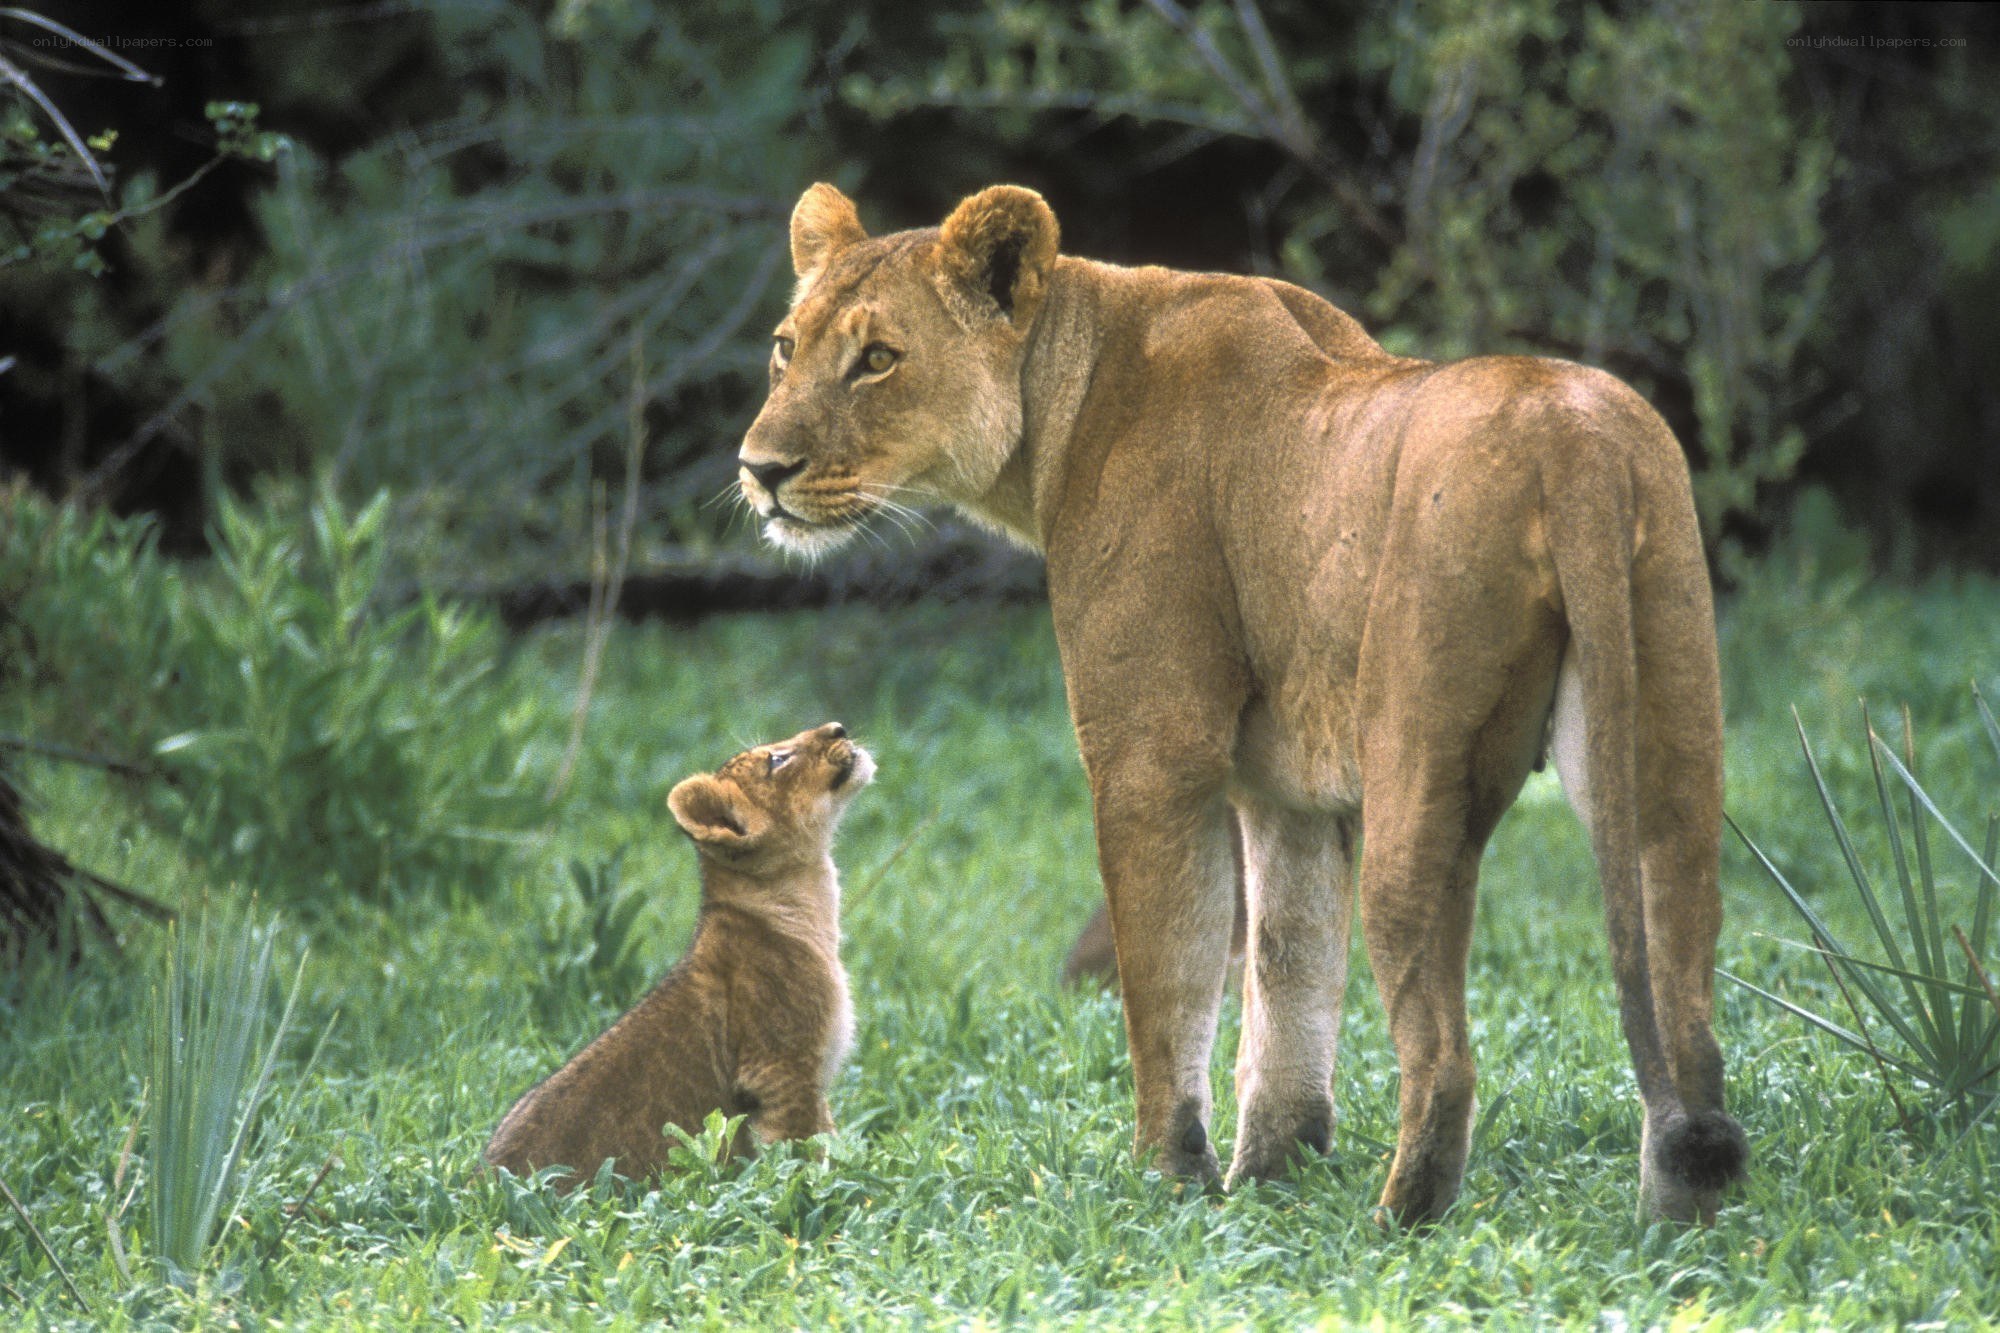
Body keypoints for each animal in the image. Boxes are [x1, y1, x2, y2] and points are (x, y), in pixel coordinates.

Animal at [483, 723, 871, 1192]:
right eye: (777, 760)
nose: (838, 728)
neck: (807, 902)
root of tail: (479, 1185)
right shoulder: (780, 1071)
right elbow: (807, 1154)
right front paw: (828, 1193)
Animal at [736, 183, 1747, 1226]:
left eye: (878, 359)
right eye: (785, 347)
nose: (758, 468)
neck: (1063, 396)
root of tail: (1577, 443)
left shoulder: (1153, 756)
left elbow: (1167, 981)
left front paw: (1167, 1181)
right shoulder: (1286, 794)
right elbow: (1289, 974)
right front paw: (1273, 1180)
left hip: (1418, 776)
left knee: (1445, 1057)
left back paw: (1395, 1226)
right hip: (1666, 736)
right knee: (1687, 1007)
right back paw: (1679, 1214)